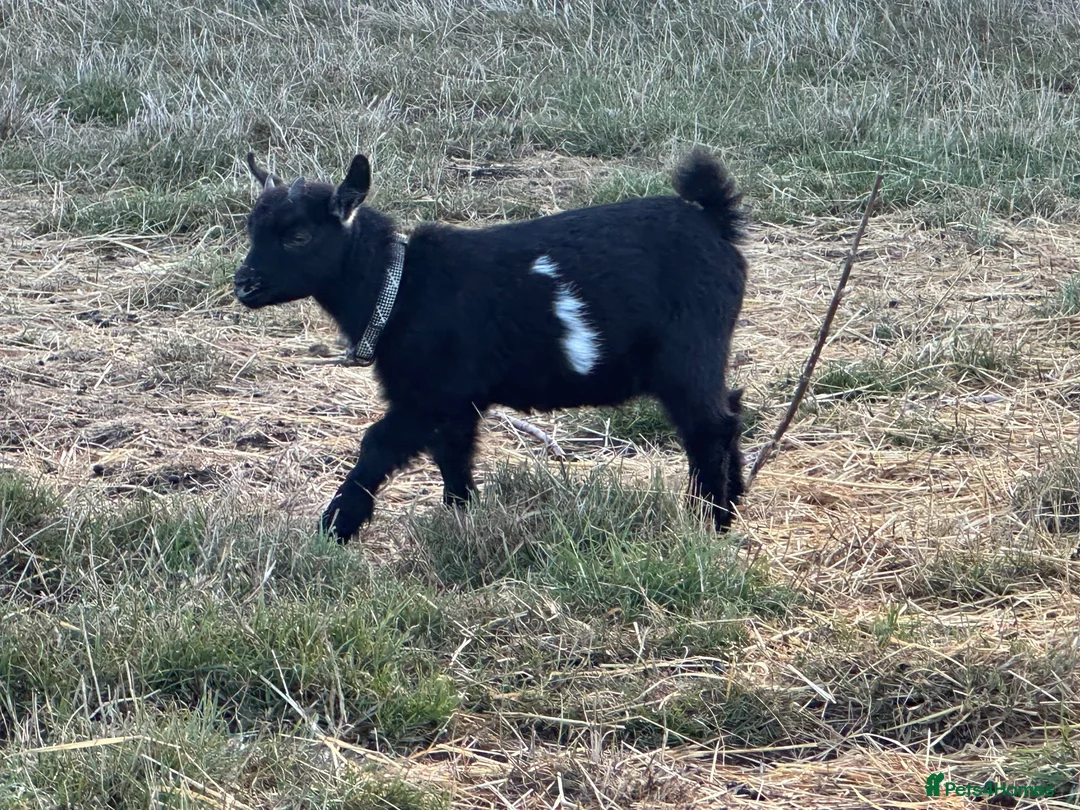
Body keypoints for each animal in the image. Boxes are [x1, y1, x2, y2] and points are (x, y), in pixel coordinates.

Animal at [235, 149, 749, 542]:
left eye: (298, 236)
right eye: (251, 230)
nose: (244, 285)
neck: (398, 286)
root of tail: (715, 222)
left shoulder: (429, 396)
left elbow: (377, 445)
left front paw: (334, 528)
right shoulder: (456, 404)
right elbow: (453, 456)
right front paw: (462, 517)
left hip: (688, 353)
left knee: (709, 427)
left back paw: (711, 520)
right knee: (731, 408)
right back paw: (734, 497)